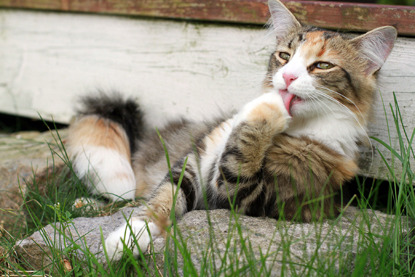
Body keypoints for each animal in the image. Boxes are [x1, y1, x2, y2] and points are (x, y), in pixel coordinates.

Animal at [66, 0, 398, 258]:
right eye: (284, 56)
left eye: (323, 66)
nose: (286, 78)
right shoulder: (196, 159)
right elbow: (163, 198)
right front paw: (126, 239)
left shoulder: (251, 195)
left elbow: (242, 150)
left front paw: (269, 107)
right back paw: (85, 203)